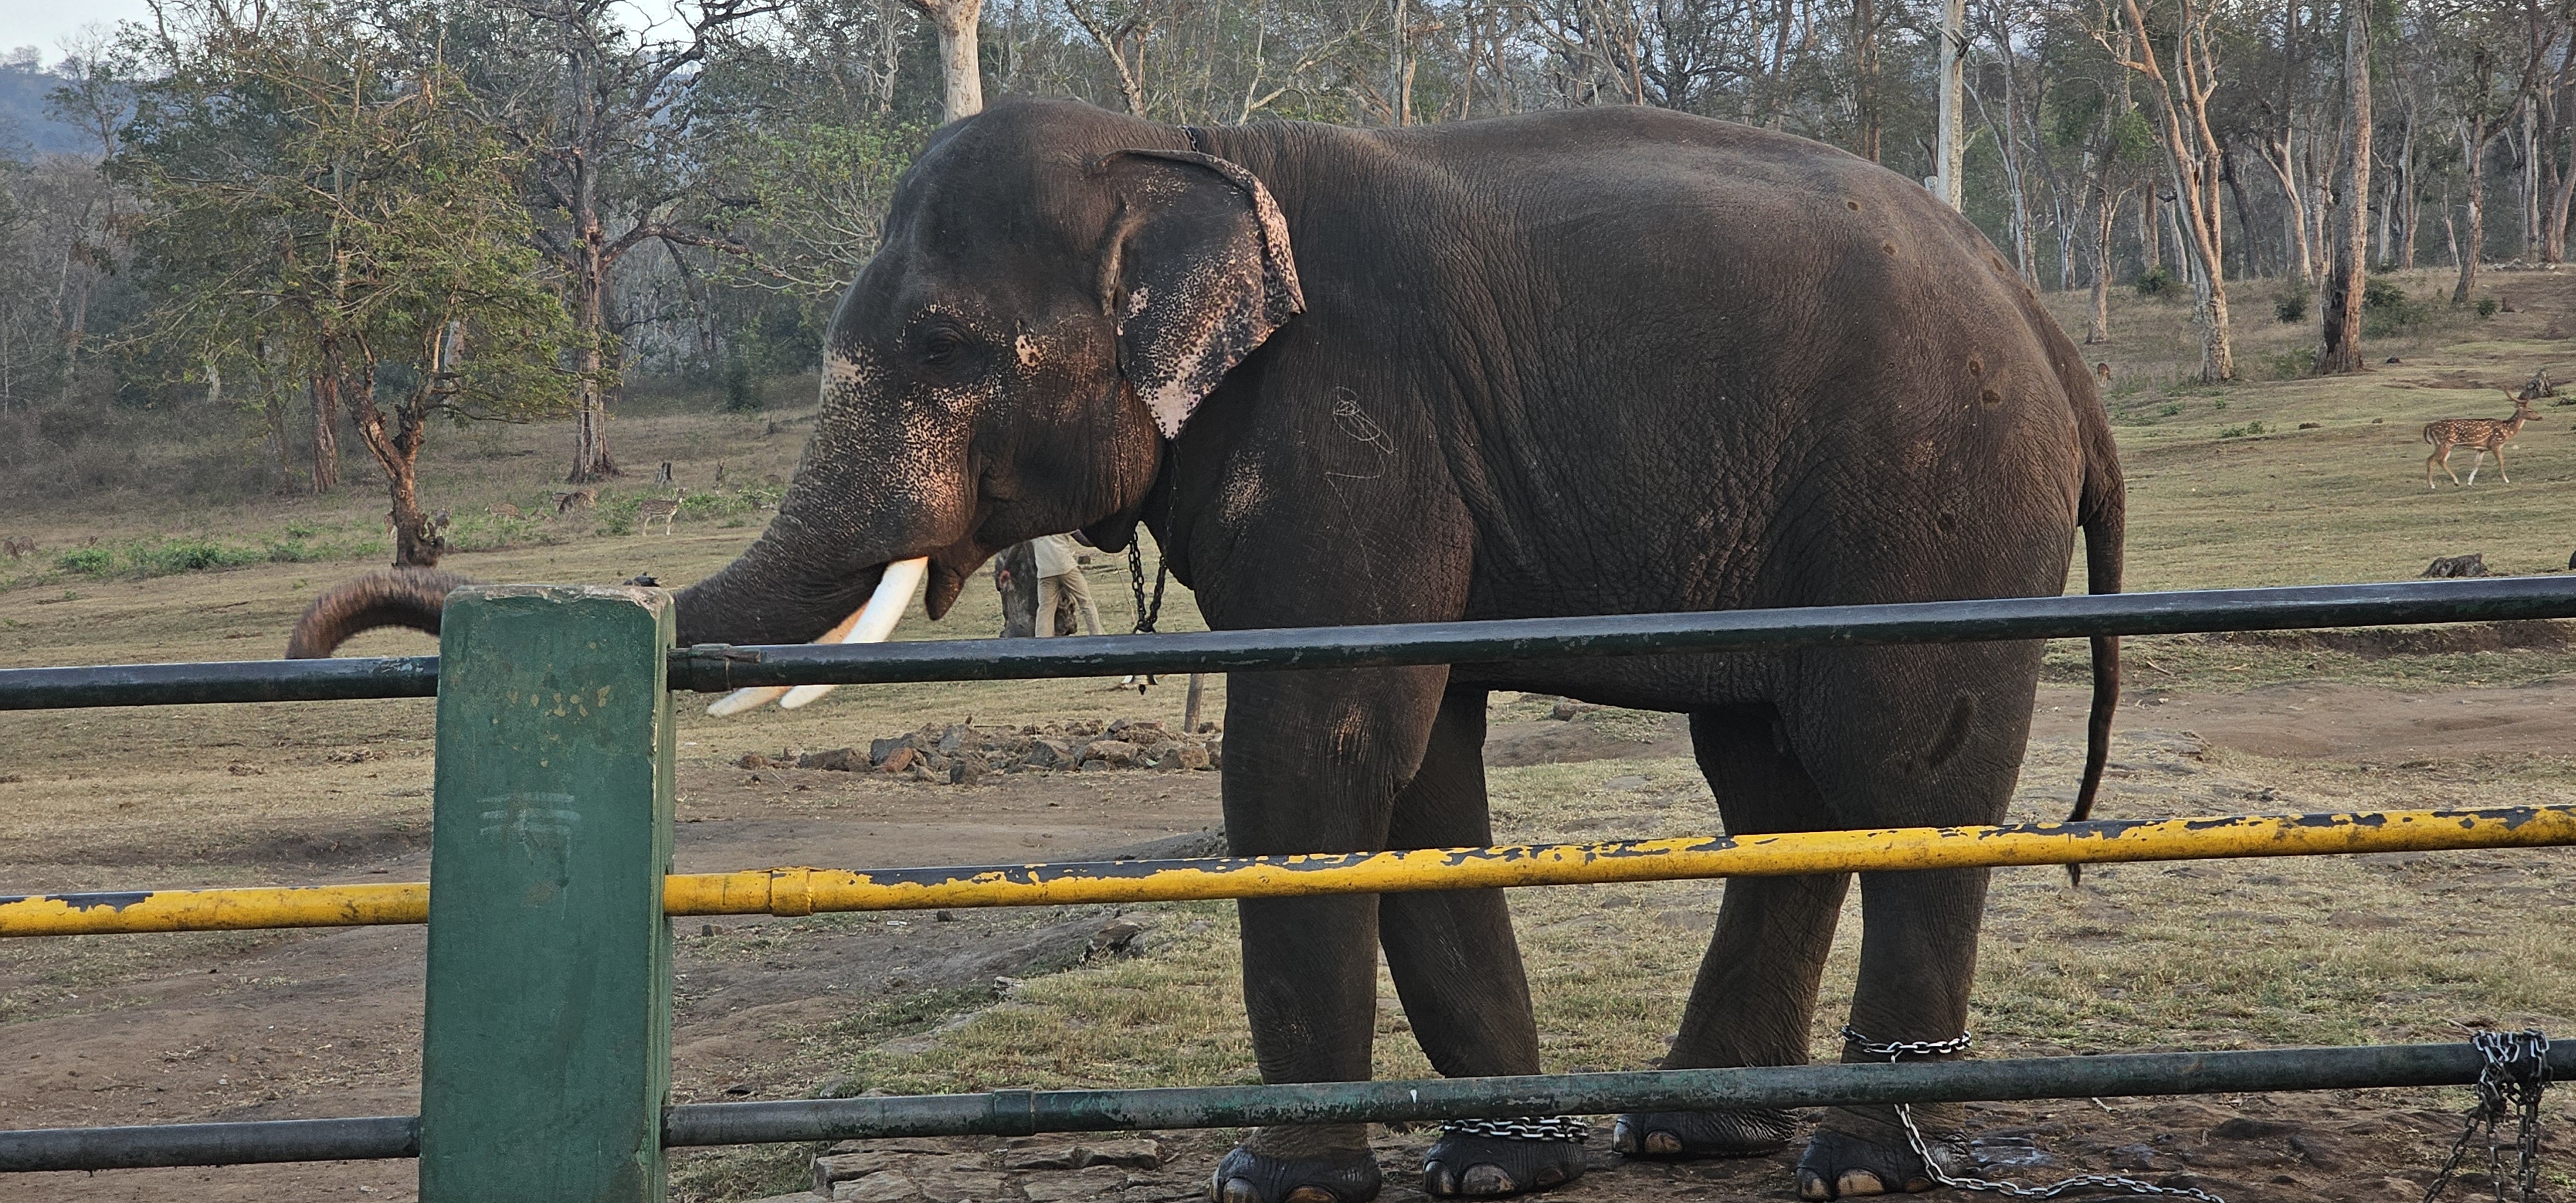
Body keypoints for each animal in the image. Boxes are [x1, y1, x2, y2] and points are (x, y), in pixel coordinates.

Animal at [287, 97, 2133, 1203]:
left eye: (943, 348)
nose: (319, 630)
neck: (1175, 145)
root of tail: (2048, 327)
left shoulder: (1347, 418)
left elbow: (1320, 739)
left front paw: (1275, 1183)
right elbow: (1417, 752)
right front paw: (1499, 1168)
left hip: (1933, 500)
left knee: (1899, 759)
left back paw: (1856, 1159)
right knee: (1774, 781)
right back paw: (1691, 1131)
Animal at [2421, 397, 2545, 489]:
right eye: (2530, 411)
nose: (2540, 417)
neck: (2507, 430)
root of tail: (2429, 426)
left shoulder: (2482, 449)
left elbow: (2477, 464)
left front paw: (2470, 482)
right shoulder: (2496, 444)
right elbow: (2501, 461)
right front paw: (2506, 480)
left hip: (2445, 445)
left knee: (2440, 460)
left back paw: (2454, 482)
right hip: (2445, 443)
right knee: (2432, 459)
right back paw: (2434, 485)